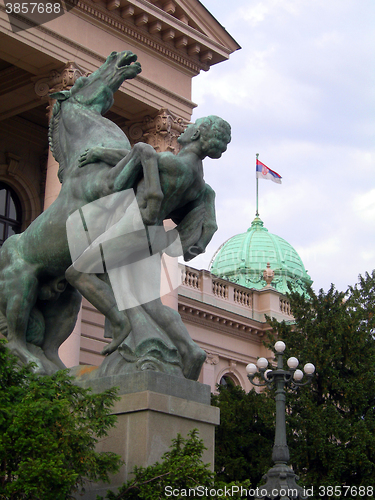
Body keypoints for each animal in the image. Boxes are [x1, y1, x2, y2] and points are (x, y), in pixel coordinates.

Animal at [0, 50, 163, 374]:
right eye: (84, 79)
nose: (120, 54)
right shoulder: (108, 186)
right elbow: (140, 148)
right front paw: (153, 199)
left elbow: (143, 148)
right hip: (20, 287)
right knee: (14, 338)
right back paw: (32, 364)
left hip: (66, 302)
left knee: (50, 347)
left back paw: (64, 373)